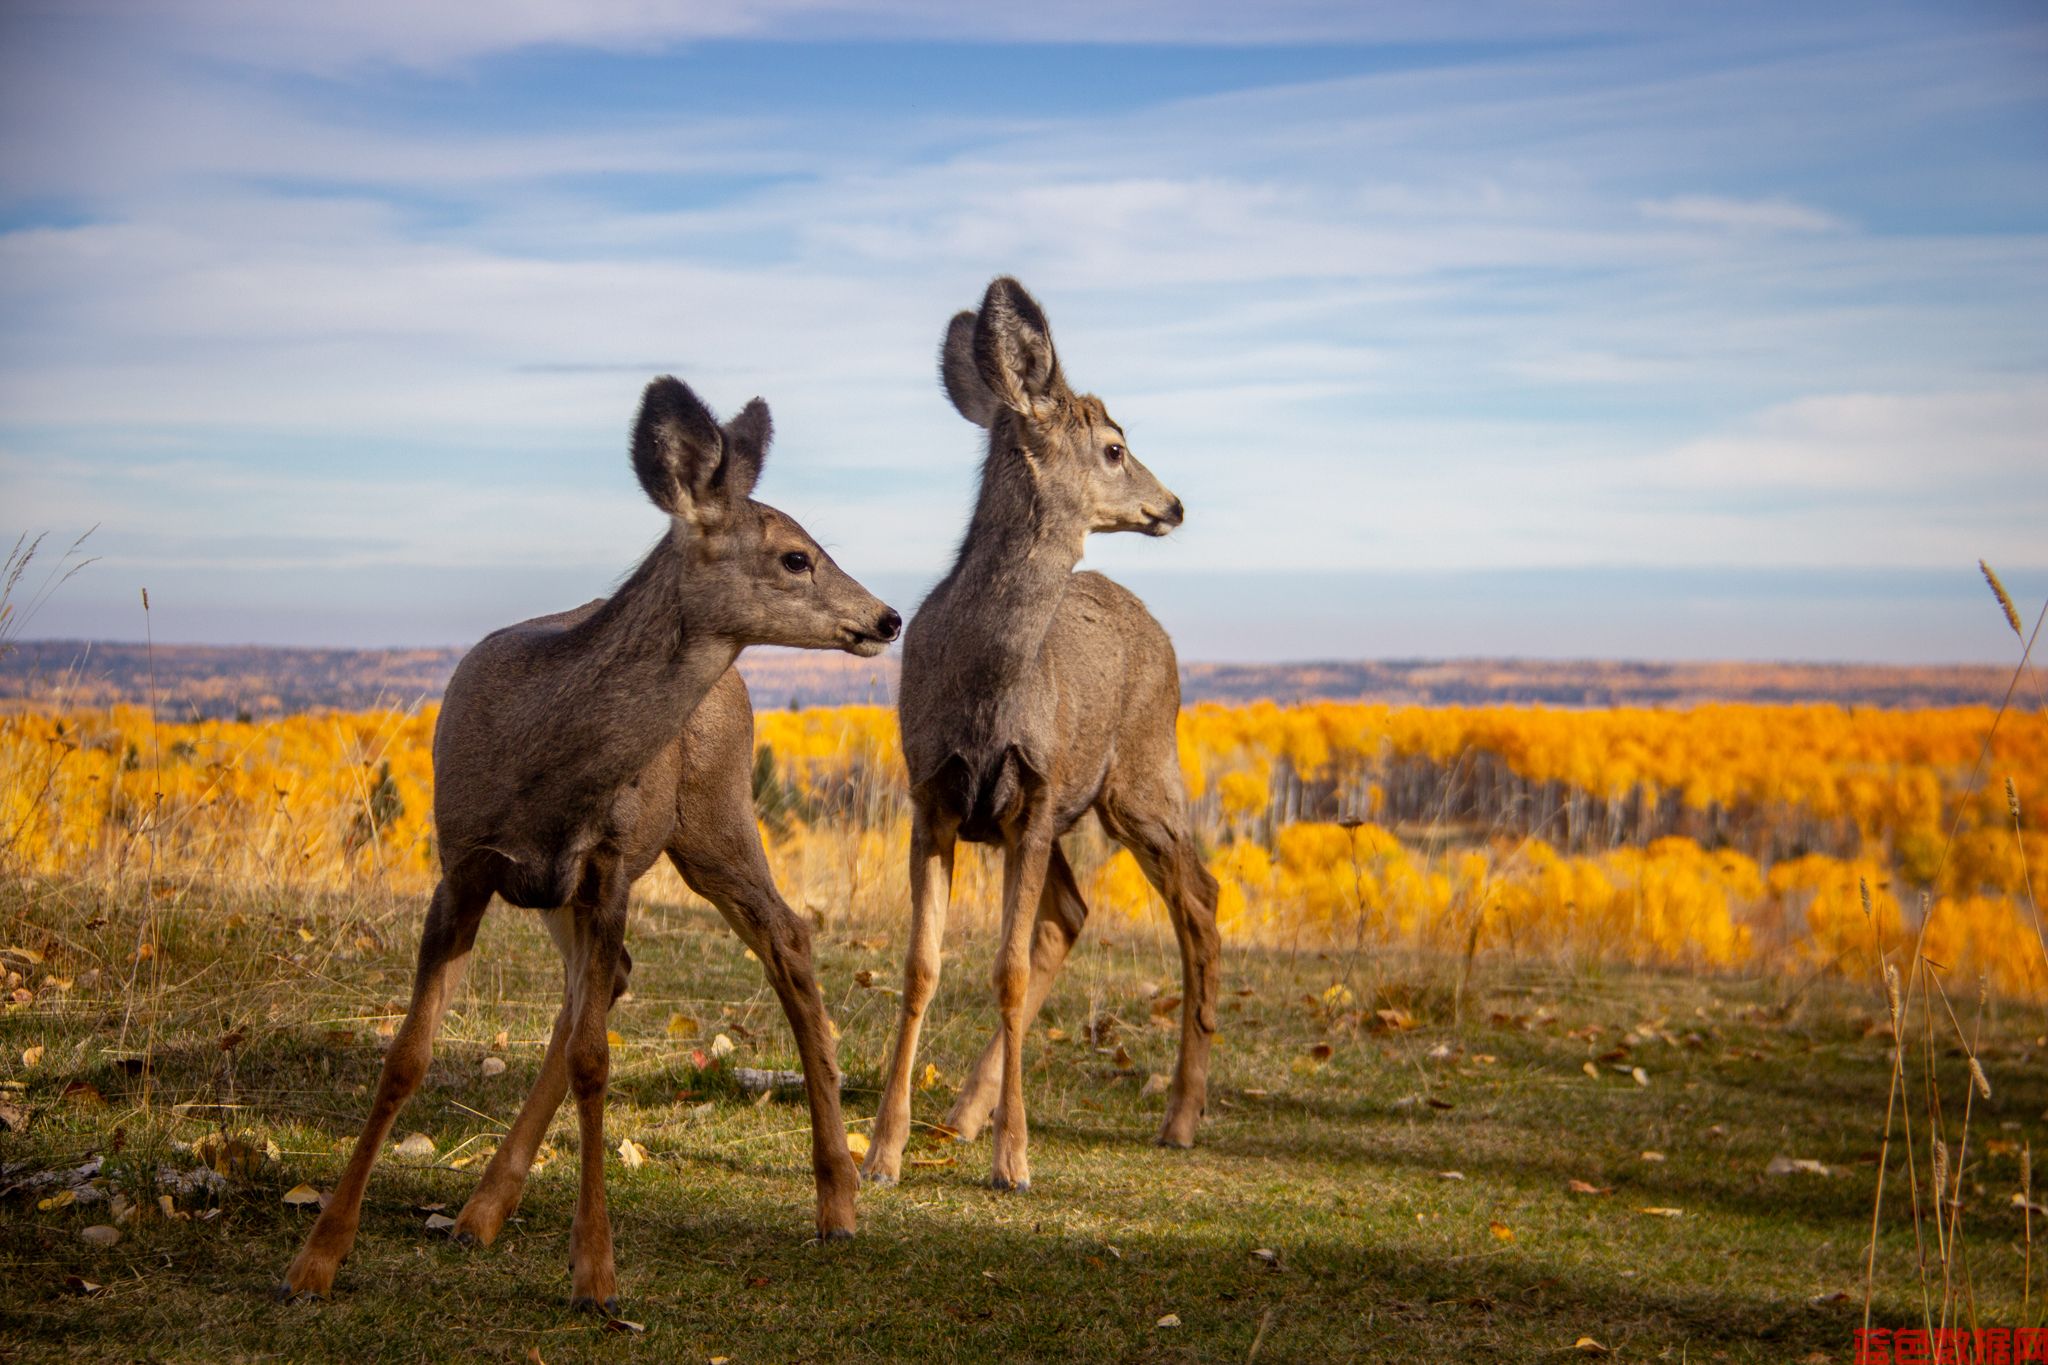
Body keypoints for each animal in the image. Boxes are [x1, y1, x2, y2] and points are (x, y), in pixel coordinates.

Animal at [284, 374, 901, 1309]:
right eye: (796, 556)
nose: (889, 616)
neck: (542, 761)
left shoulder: (609, 864)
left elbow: (594, 1060)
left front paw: (597, 1271)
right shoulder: (464, 863)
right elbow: (407, 1054)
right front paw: (318, 1256)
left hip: (712, 816)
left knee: (784, 938)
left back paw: (839, 1199)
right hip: (582, 882)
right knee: (606, 981)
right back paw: (481, 1209)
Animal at [860, 280, 1212, 1195]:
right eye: (1116, 448)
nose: (1175, 503)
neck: (987, 687)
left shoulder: (1034, 793)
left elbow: (1008, 970)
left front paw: (1014, 1159)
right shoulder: (936, 796)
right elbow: (922, 966)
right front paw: (881, 1151)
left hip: (1139, 778)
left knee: (1199, 896)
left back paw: (1181, 1117)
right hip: (1073, 809)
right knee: (1074, 912)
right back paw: (964, 1112)